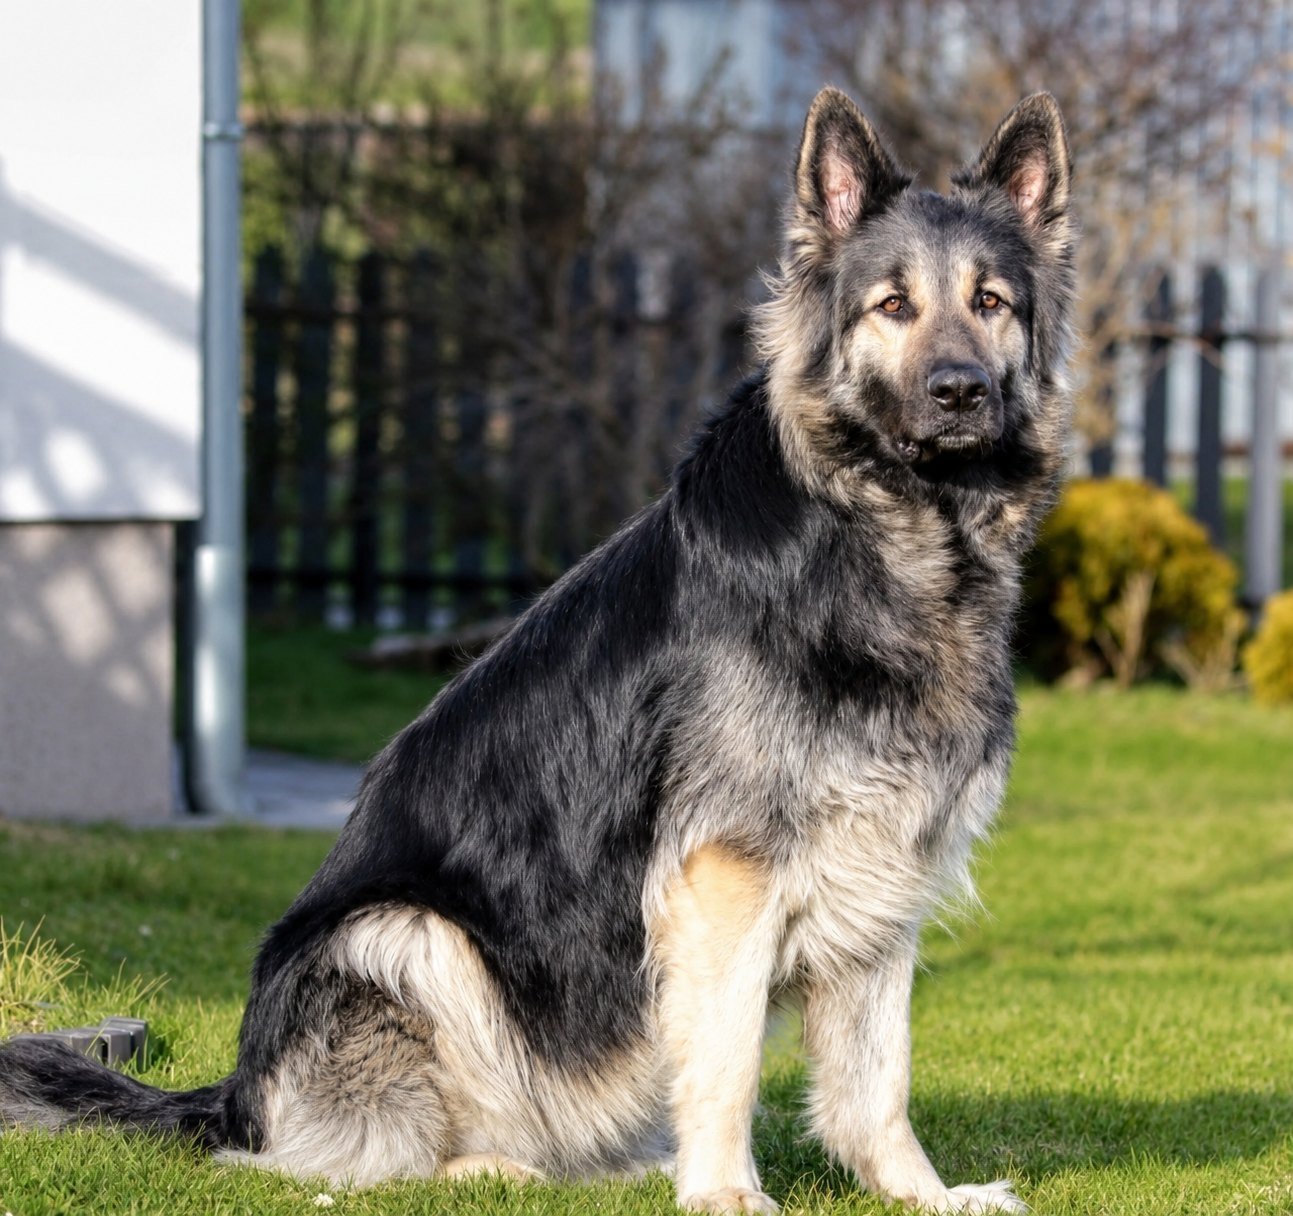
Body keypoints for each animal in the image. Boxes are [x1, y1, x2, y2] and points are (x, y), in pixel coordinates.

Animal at [0, 87, 1074, 1213]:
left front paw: (921, 1193)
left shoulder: (880, 870)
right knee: (338, 1157)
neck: (882, 532)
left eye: (991, 302)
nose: (958, 392)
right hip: (403, 934)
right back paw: (492, 1165)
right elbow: (727, 1054)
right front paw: (726, 1193)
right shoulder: (725, 874)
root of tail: (236, 1090)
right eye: (892, 307)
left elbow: (877, 1074)